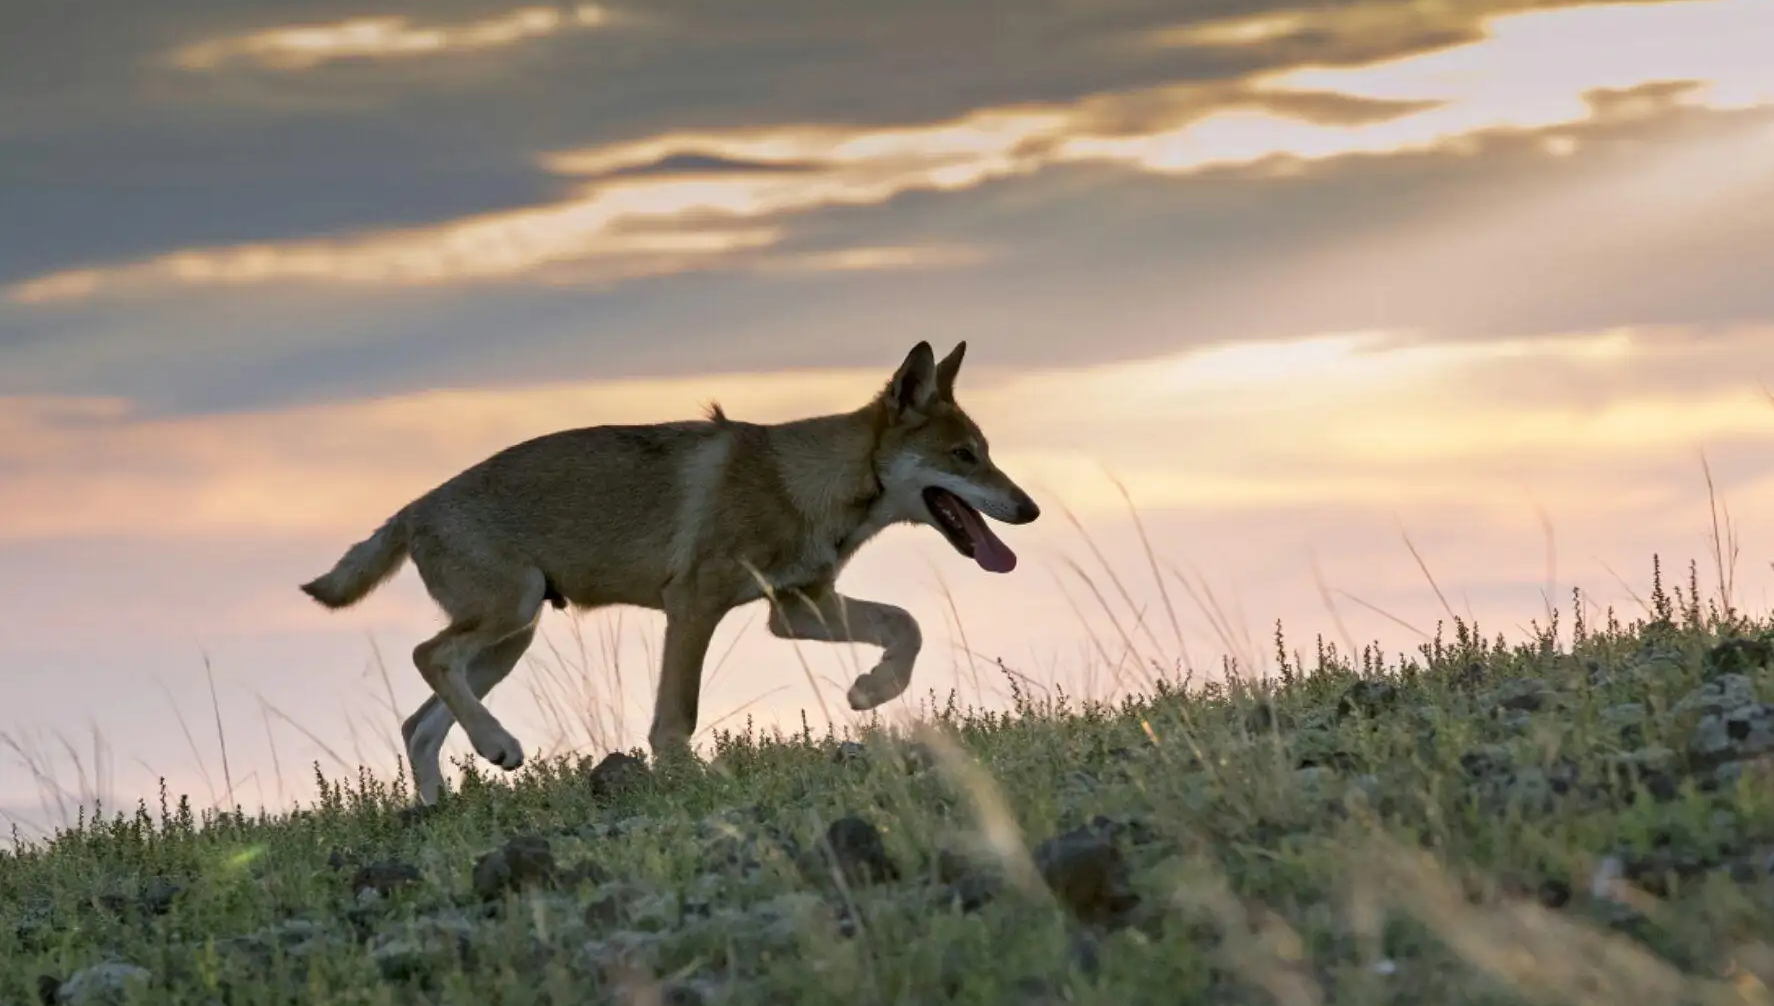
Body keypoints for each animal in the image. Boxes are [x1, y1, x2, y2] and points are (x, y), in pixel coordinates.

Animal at [292, 342, 1036, 805]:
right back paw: (499, 747)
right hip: (511, 615)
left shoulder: (793, 609)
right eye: (966, 457)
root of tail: (413, 507)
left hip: (509, 641)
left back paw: (438, 807)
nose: (1029, 508)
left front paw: (870, 691)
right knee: (428, 658)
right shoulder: (696, 605)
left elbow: (906, 627)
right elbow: (675, 718)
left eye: (987, 452)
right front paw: (682, 778)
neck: (806, 483)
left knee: (419, 722)